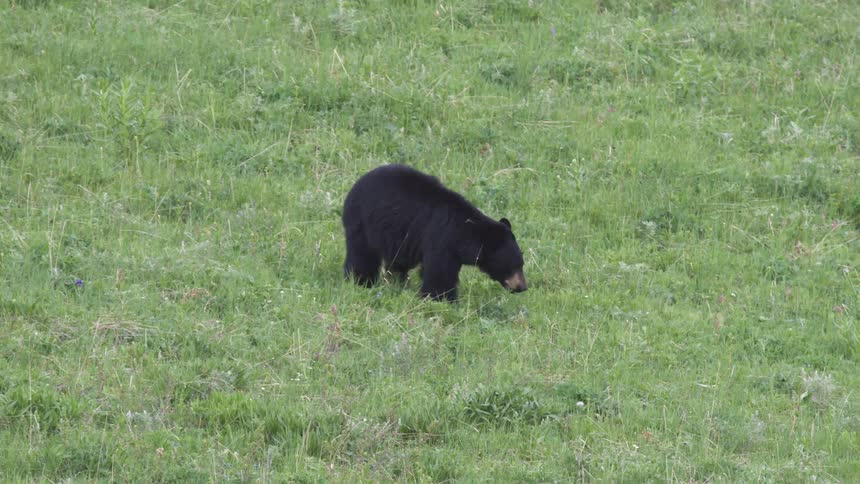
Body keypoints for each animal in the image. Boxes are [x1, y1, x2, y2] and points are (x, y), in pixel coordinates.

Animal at [341, 164, 527, 301]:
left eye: (521, 263)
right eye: (514, 265)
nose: (523, 287)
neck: (465, 232)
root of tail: (355, 185)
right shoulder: (441, 238)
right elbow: (439, 273)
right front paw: (442, 299)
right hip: (363, 223)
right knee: (362, 254)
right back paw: (361, 280)